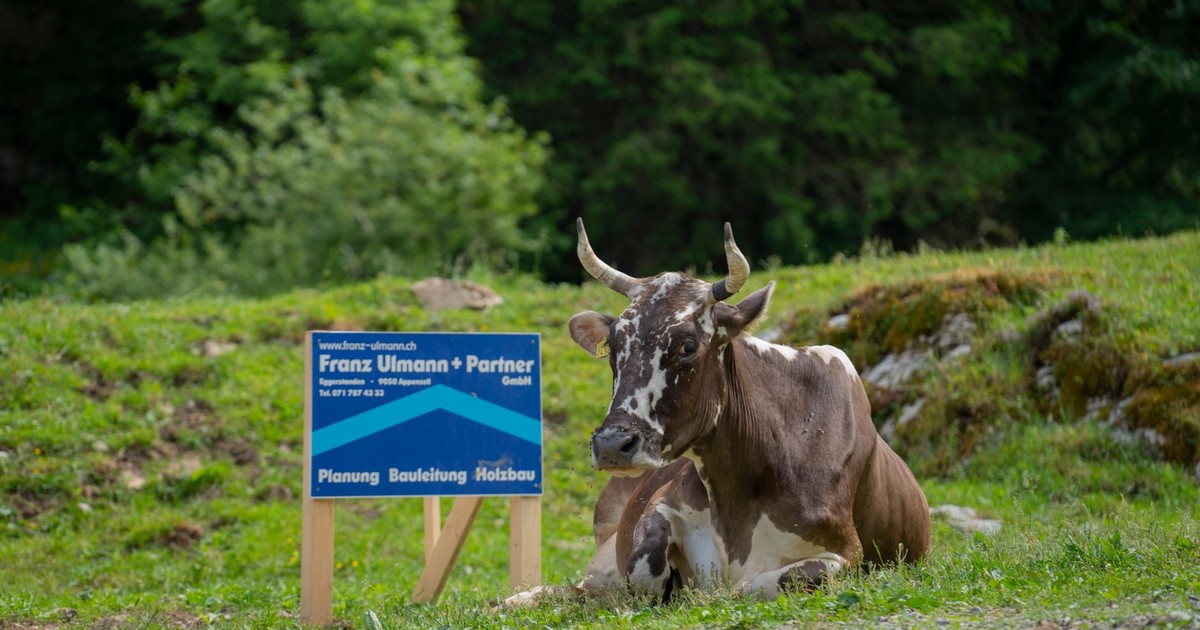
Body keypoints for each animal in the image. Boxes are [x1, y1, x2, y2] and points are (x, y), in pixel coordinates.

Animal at [562, 218, 932, 601]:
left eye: (687, 346)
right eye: (614, 344)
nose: (612, 444)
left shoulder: (844, 553)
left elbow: (753, 586)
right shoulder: (663, 504)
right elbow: (643, 567)